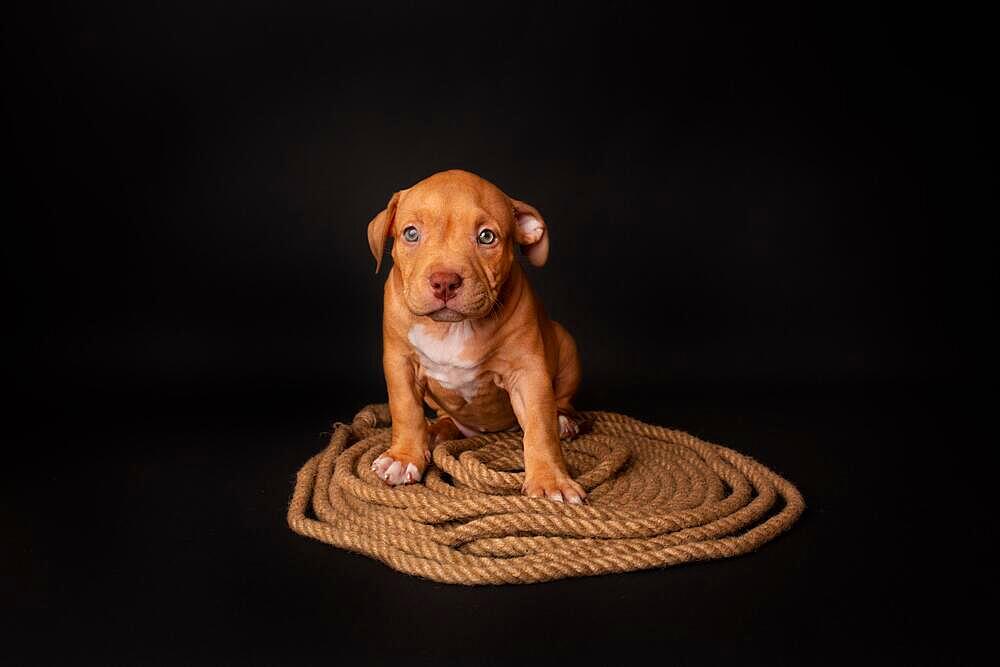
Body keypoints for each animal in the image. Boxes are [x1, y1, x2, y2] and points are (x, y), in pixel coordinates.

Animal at [368, 170, 584, 504]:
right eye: (411, 234)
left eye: (486, 237)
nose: (444, 281)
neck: (451, 328)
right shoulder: (399, 362)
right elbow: (405, 409)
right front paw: (404, 457)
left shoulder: (528, 373)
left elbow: (540, 426)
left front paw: (551, 480)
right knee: (441, 414)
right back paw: (437, 430)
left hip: (567, 345)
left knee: (560, 403)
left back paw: (564, 422)